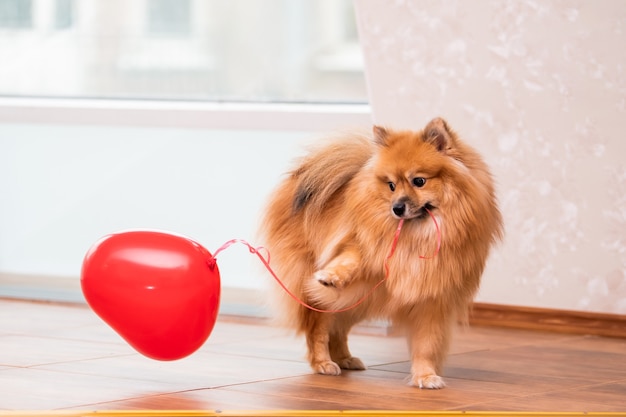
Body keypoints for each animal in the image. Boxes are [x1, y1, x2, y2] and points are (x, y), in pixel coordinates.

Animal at [258, 116, 502, 386]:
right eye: (392, 185)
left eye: (419, 181)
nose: (396, 208)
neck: (416, 236)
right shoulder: (365, 246)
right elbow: (352, 256)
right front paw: (331, 275)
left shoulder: (433, 300)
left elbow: (427, 343)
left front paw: (425, 376)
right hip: (326, 296)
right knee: (318, 328)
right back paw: (323, 362)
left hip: (358, 298)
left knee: (338, 328)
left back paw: (345, 358)